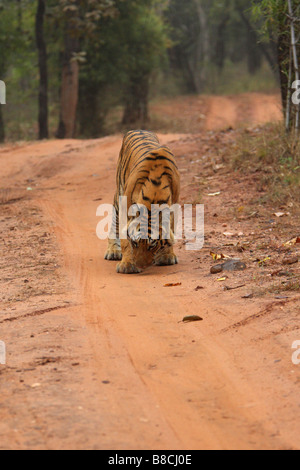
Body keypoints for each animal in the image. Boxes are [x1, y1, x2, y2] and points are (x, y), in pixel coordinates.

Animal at [105, 129, 180, 276]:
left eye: (152, 245)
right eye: (135, 243)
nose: (140, 266)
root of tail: (139, 129)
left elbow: (170, 228)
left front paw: (166, 256)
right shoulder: (125, 210)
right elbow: (125, 240)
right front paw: (127, 265)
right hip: (119, 193)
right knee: (114, 223)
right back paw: (113, 251)